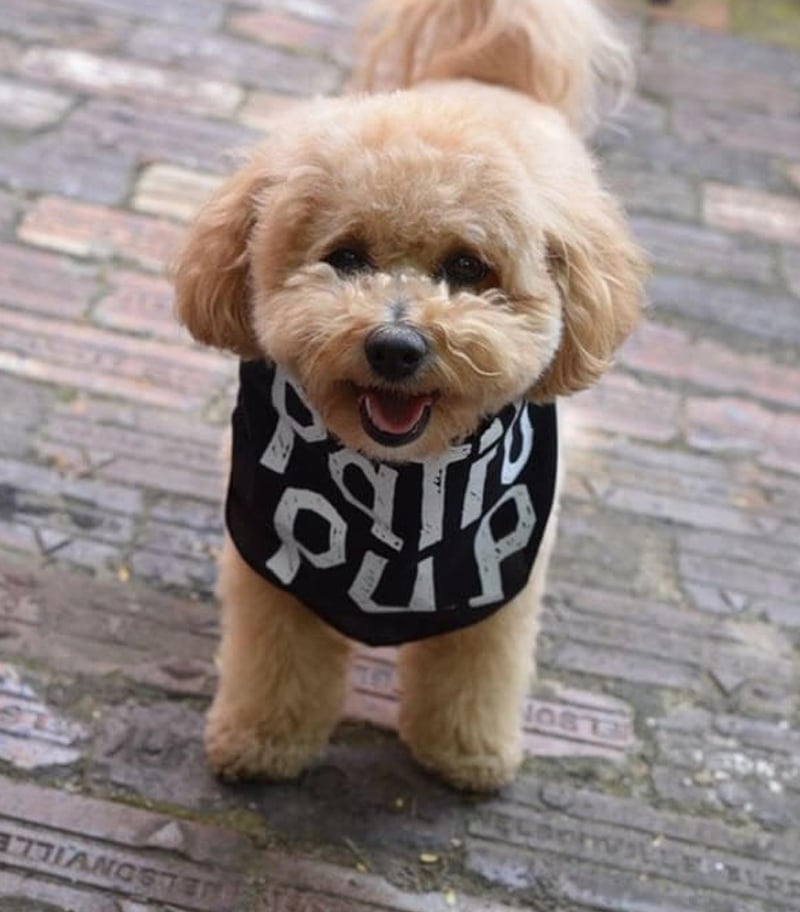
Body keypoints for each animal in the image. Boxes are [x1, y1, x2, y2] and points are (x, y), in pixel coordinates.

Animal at [172, 0, 648, 792]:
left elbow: (475, 672)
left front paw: (466, 752)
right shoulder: (273, 567)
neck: (400, 485)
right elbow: (276, 661)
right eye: (346, 258)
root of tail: (489, 72)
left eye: (468, 268)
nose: (396, 347)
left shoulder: (497, 583)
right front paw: (261, 741)